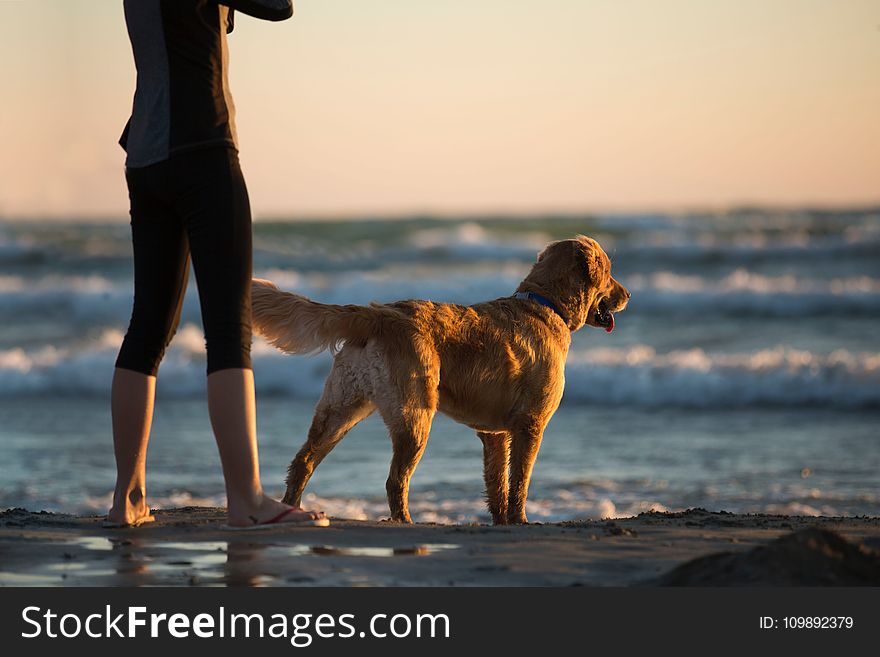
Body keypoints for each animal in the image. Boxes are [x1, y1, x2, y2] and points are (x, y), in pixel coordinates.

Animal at [251, 234, 628, 524]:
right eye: (610, 272)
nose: (628, 295)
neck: (546, 304)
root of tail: (379, 314)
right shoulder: (531, 424)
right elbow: (519, 480)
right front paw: (520, 520)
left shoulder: (494, 434)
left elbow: (497, 483)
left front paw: (501, 521)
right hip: (415, 415)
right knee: (395, 480)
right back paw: (404, 521)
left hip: (341, 408)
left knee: (303, 461)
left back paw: (292, 509)